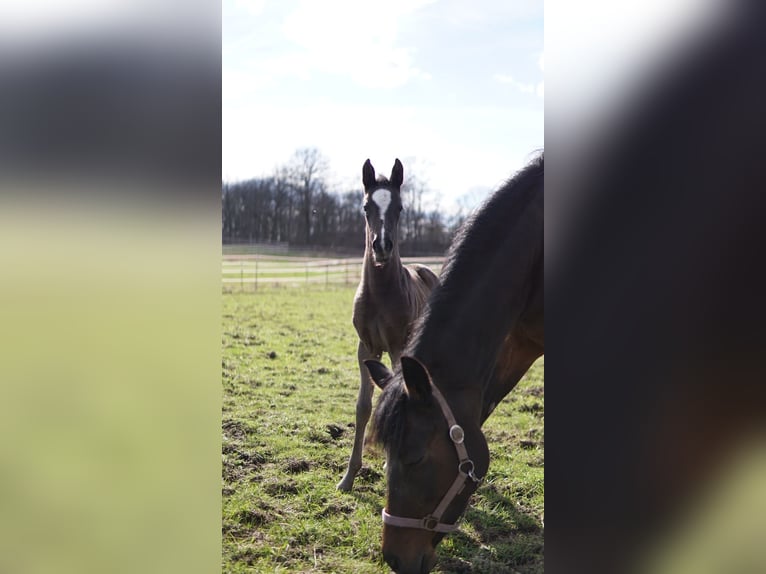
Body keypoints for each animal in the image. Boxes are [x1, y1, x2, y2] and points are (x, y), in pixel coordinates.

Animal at [340, 159, 440, 496]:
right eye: (365, 206)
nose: (382, 246)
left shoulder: (398, 348)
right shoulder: (366, 348)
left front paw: (387, 465)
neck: (380, 295)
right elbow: (363, 407)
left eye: (399, 207)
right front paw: (348, 477)